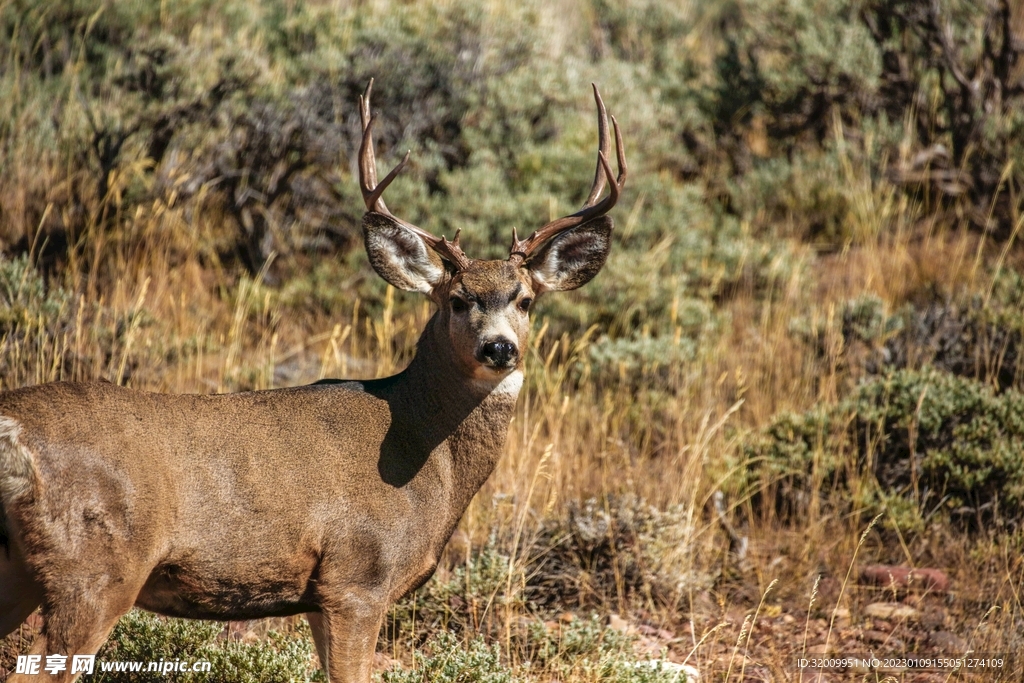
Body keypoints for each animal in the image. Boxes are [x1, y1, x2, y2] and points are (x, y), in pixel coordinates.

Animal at [0, 80, 626, 683]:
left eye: (525, 300)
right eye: (457, 299)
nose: (499, 348)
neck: (423, 451)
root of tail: (12, 430)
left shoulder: (320, 596)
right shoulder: (357, 577)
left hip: (24, 569)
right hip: (96, 569)